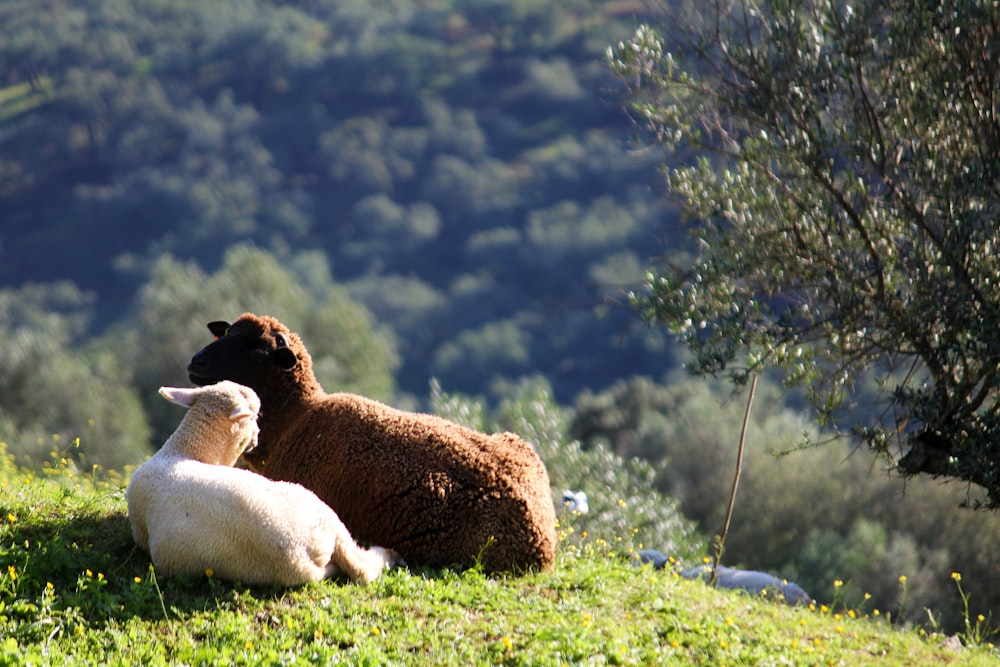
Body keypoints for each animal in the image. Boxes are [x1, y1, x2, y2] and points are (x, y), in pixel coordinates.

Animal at [127, 380, 400, 584]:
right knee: (362, 568)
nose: (257, 436)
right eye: (255, 415)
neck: (184, 450)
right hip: (322, 510)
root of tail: (299, 552)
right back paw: (388, 553)